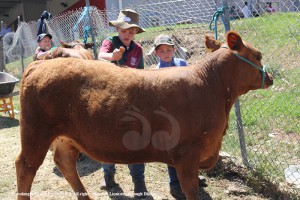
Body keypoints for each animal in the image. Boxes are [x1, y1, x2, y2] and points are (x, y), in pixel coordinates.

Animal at [15, 31, 274, 200]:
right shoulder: (186, 154)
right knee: (26, 167)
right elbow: (190, 190)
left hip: (65, 136)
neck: (211, 84)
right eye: (258, 56)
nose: (270, 78)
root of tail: (40, 64)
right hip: (36, 131)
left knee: (65, 163)